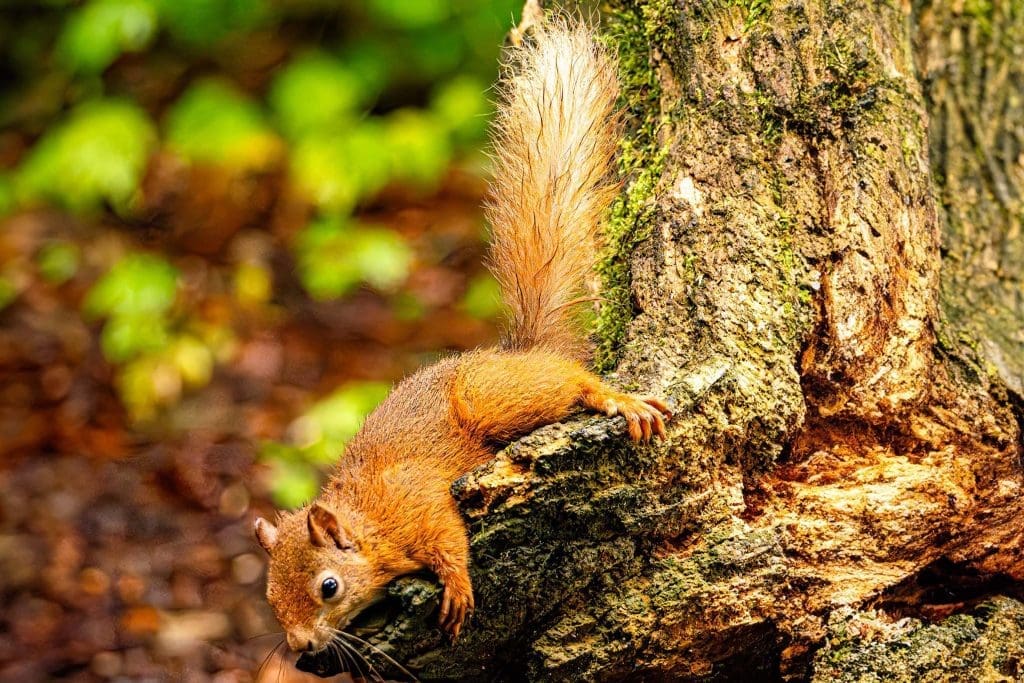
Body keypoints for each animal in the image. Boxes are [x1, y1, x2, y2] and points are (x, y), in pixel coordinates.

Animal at [253, 16, 671, 655]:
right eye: (271, 599)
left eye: (328, 587)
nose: (300, 647)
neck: (368, 522)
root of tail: (517, 352)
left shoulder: (416, 503)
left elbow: (449, 539)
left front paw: (456, 587)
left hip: (491, 397)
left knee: (569, 381)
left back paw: (613, 398)